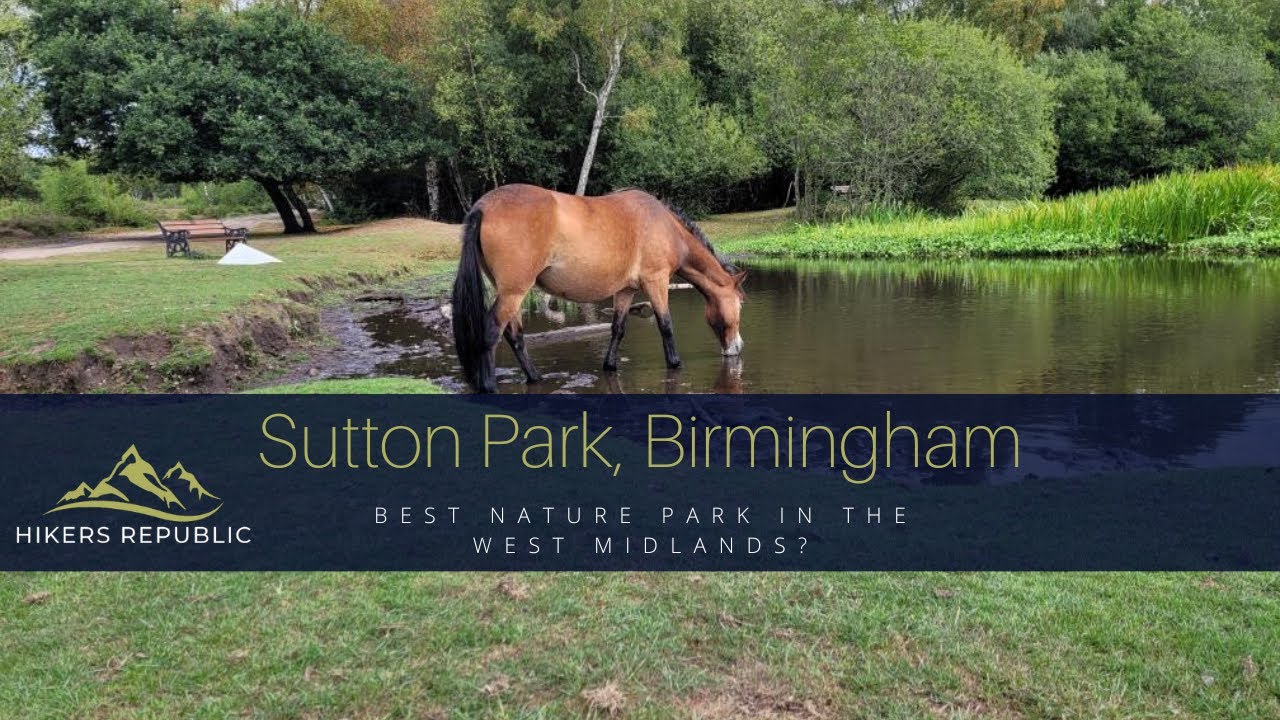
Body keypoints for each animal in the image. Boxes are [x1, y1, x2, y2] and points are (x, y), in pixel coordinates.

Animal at [451, 184, 746, 393]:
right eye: (740, 304)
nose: (737, 347)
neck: (666, 227)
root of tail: (482, 207)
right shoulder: (657, 281)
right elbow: (665, 326)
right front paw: (675, 364)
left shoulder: (626, 291)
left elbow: (618, 329)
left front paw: (610, 365)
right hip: (514, 292)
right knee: (492, 332)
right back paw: (489, 386)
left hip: (511, 293)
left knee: (515, 336)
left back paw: (535, 377)